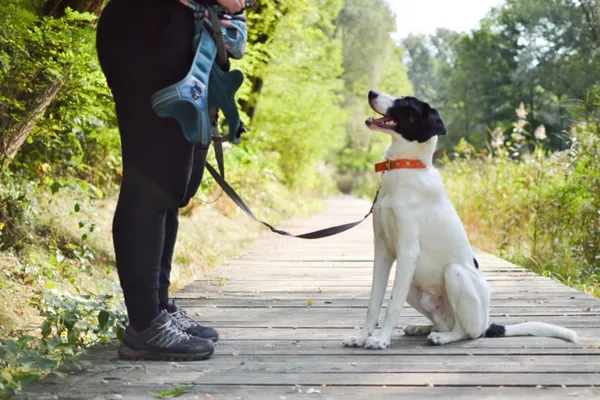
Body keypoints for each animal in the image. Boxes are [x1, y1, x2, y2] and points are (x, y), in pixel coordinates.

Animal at [342, 92, 576, 348]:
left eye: (405, 102)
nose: (371, 93)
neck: (405, 168)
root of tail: (487, 323)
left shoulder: (407, 251)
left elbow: (392, 306)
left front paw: (381, 340)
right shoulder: (383, 251)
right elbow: (374, 303)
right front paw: (360, 338)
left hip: (454, 274)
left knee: (466, 332)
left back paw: (442, 337)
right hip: (413, 286)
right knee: (444, 322)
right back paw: (422, 327)